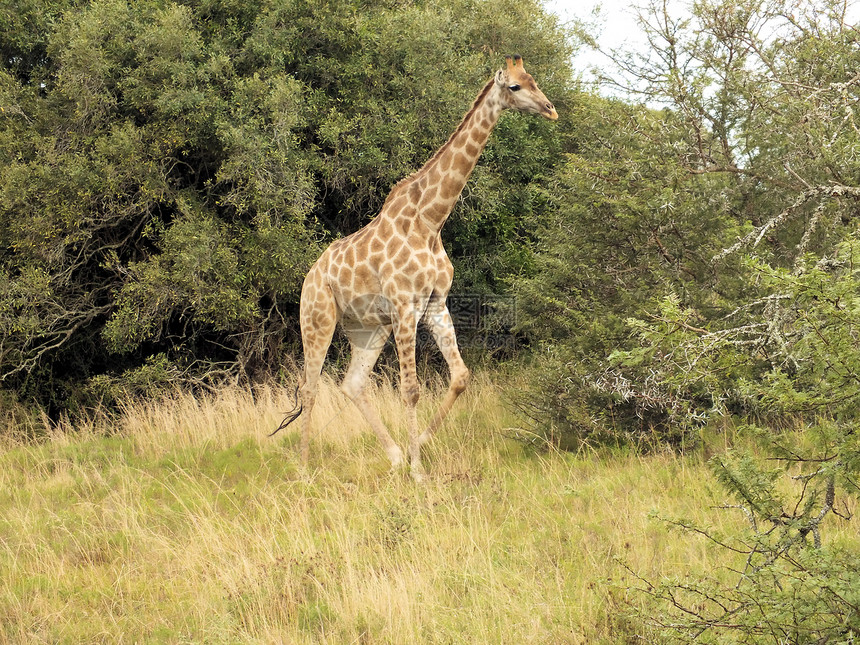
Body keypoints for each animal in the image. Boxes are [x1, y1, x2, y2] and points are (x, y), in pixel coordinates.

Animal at [276, 55, 556, 478]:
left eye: (533, 79)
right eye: (515, 87)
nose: (551, 110)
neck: (431, 220)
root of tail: (309, 277)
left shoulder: (435, 303)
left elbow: (460, 377)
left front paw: (417, 447)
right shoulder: (405, 304)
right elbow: (410, 389)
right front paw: (418, 470)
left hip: (368, 328)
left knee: (352, 383)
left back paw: (392, 454)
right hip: (318, 318)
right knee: (310, 388)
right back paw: (306, 470)